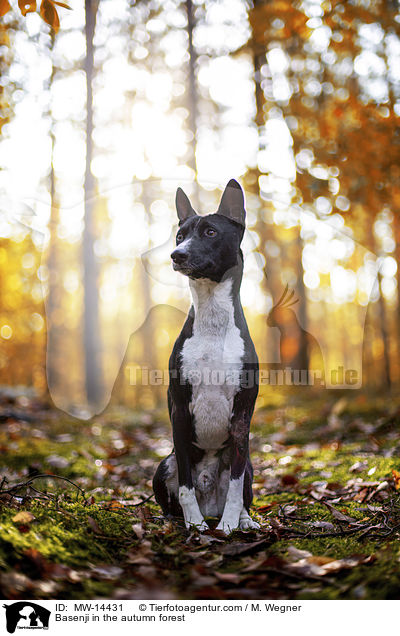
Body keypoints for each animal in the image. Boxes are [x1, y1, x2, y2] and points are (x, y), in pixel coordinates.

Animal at [152, 179, 260, 532]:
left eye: (210, 232)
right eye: (179, 236)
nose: (177, 254)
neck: (212, 318)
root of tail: (210, 497)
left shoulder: (242, 416)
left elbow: (236, 488)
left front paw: (229, 525)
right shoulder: (180, 411)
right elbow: (186, 486)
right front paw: (195, 524)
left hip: (249, 464)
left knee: (241, 490)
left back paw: (242, 520)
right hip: (164, 464)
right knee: (173, 499)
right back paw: (182, 520)